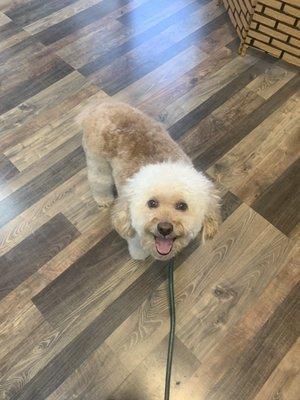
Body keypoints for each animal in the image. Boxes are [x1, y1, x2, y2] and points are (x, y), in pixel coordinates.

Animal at [77, 101, 220, 260]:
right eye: (152, 203)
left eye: (182, 206)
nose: (165, 228)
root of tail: (99, 106)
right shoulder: (133, 229)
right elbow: (136, 245)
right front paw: (140, 255)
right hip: (97, 161)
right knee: (98, 181)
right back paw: (103, 199)